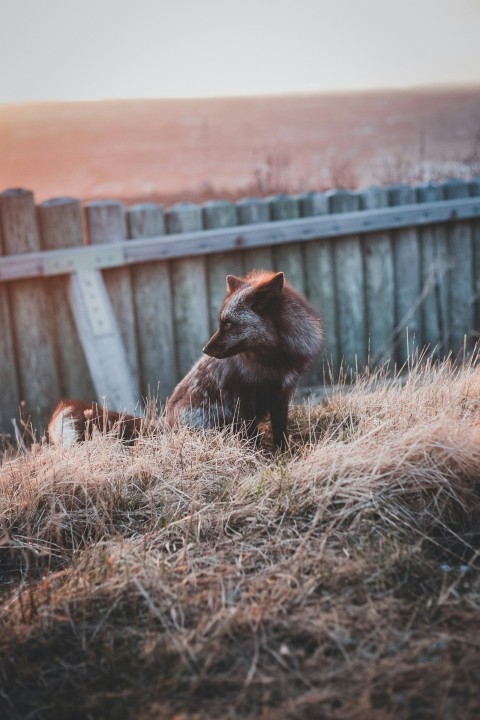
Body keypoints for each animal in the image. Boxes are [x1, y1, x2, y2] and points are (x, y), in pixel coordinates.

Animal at [167, 272, 324, 450]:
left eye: (229, 324)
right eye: (221, 323)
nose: (204, 350)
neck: (273, 362)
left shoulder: (282, 393)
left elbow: (280, 428)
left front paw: (283, 452)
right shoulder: (242, 395)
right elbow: (251, 431)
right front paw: (255, 453)